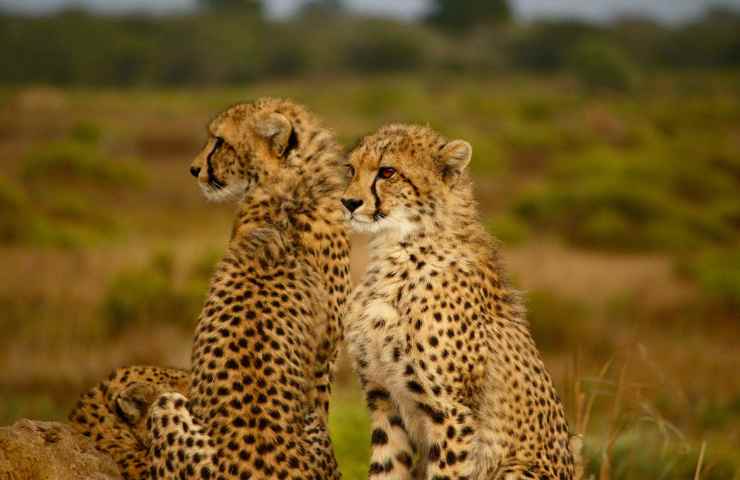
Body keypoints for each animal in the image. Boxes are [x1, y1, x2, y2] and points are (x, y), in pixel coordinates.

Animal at [344, 124, 580, 480]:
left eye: (387, 172)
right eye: (351, 169)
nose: (348, 202)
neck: (395, 249)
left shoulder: (452, 412)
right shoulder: (383, 400)